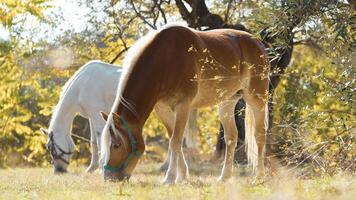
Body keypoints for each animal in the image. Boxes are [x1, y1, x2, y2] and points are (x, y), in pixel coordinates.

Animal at [40, 60, 199, 173]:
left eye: (50, 147)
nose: (58, 171)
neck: (81, 85)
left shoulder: (96, 114)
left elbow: (100, 138)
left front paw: (100, 166)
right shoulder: (91, 116)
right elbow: (93, 141)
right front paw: (91, 168)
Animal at [98, 24, 268, 184]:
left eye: (117, 145)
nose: (109, 178)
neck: (166, 58)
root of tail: (257, 43)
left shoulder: (183, 106)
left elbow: (176, 141)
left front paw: (170, 178)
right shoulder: (162, 109)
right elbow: (174, 139)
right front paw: (182, 176)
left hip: (256, 100)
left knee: (259, 136)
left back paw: (259, 177)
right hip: (227, 102)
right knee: (231, 137)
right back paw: (224, 177)